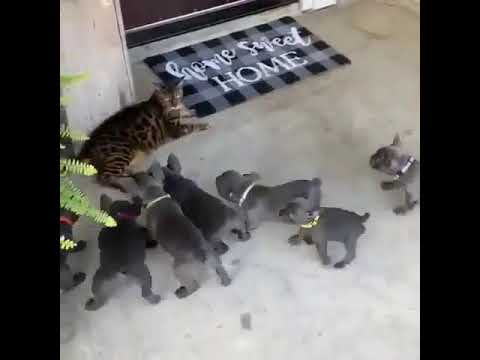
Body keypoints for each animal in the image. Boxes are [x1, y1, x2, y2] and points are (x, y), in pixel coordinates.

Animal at [78, 77, 209, 193]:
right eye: (166, 99)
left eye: (177, 95)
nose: (175, 104)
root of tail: (86, 147)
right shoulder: (177, 129)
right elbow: (193, 126)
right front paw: (204, 124)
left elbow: (188, 113)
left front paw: (191, 111)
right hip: (122, 152)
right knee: (104, 177)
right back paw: (124, 186)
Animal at [132, 162, 232, 298]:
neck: (155, 193)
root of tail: (201, 254)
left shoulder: (144, 220)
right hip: (214, 258)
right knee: (221, 269)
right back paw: (225, 280)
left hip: (179, 271)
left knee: (194, 286)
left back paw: (182, 292)